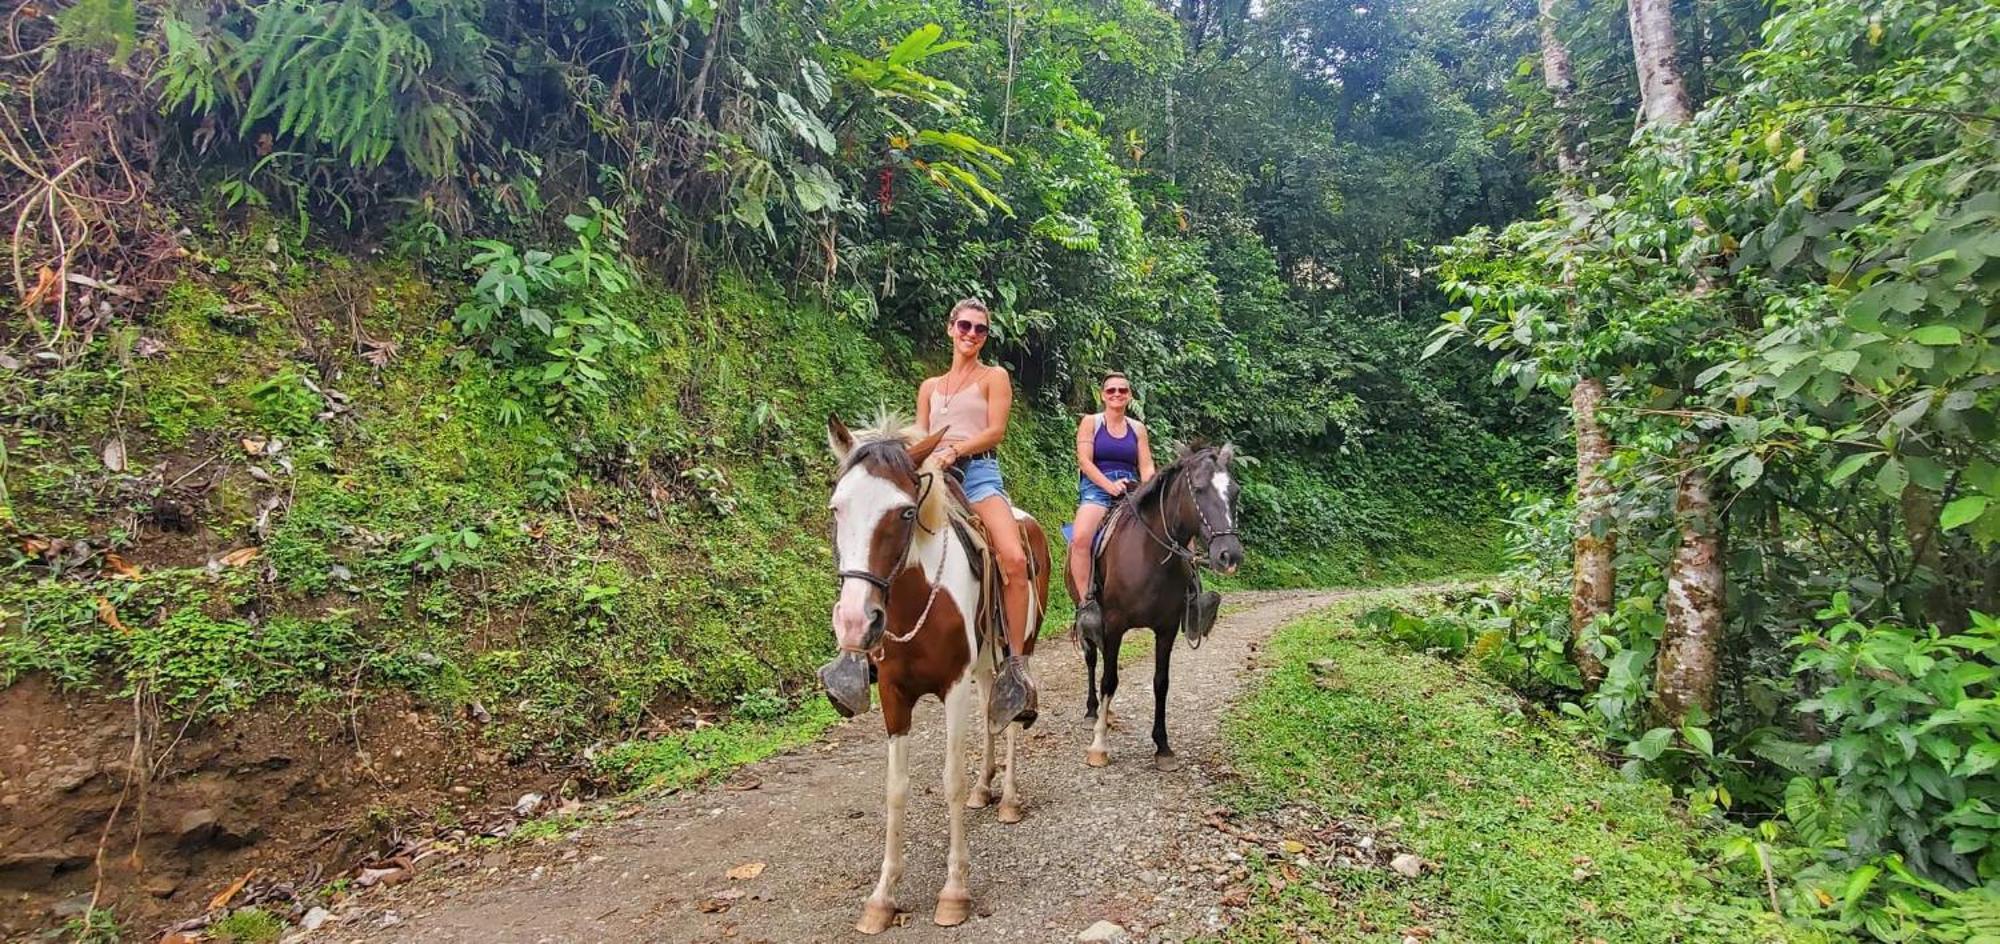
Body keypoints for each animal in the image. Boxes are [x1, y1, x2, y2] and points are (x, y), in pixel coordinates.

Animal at [824, 414, 1064, 936]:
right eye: (836, 508)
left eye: (904, 514)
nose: (854, 622)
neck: (916, 599)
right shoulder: (894, 694)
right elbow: (895, 789)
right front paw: (882, 898)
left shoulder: (952, 686)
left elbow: (950, 778)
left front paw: (954, 892)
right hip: (983, 660)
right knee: (991, 705)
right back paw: (984, 789)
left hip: (1022, 645)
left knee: (1010, 710)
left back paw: (1007, 798)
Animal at [1072, 442, 1240, 768]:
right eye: (1198, 489)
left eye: (1235, 491)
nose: (1230, 555)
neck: (1149, 555)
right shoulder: (1114, 623)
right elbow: (1109, 679)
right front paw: (1099, 745)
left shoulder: (1167, 628)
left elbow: (1161, 683)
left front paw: (1163, 747)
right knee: (1092, 660)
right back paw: (1092, 712)